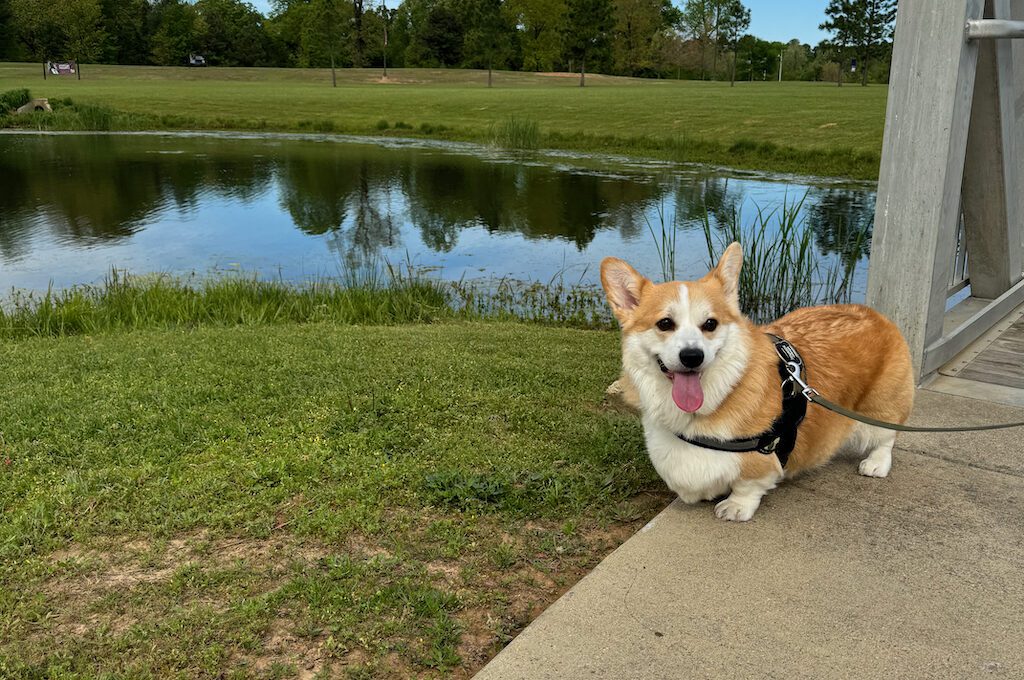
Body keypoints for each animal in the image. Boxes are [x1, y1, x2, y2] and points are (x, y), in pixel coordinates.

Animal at [598, 242, 913, 520]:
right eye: (665, 323)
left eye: (710, 324)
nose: (692, 356)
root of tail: (875, 315)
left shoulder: (762, 459)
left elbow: (748, 484)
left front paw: (736, 507)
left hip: (878, 410)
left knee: (887, 436)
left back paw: (876, 463)